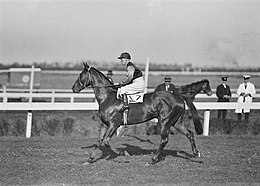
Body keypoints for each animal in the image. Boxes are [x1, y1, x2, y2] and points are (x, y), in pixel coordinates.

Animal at [72, 62, 204, 164]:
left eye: (80, 75)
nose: (73, 88)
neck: (108, 97)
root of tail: (179, 96)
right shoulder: (105, 124)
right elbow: (99, 141)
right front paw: (90, 158)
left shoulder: (114, 124)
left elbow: (106, 142)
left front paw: (123, 153)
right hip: (176, 122)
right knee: (189, 134)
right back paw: (196, 153)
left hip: (165, 121)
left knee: (164, 140)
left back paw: (153, 159)